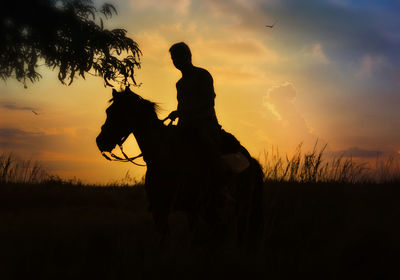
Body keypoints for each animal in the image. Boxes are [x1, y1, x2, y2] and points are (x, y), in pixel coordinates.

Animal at [96, 87, 266, 245]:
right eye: (108, 111)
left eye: (122, 112)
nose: (100, 141)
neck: (163, 154)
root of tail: (252, 161)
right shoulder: (160, 209)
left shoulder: (184, 207)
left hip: (241, 206)